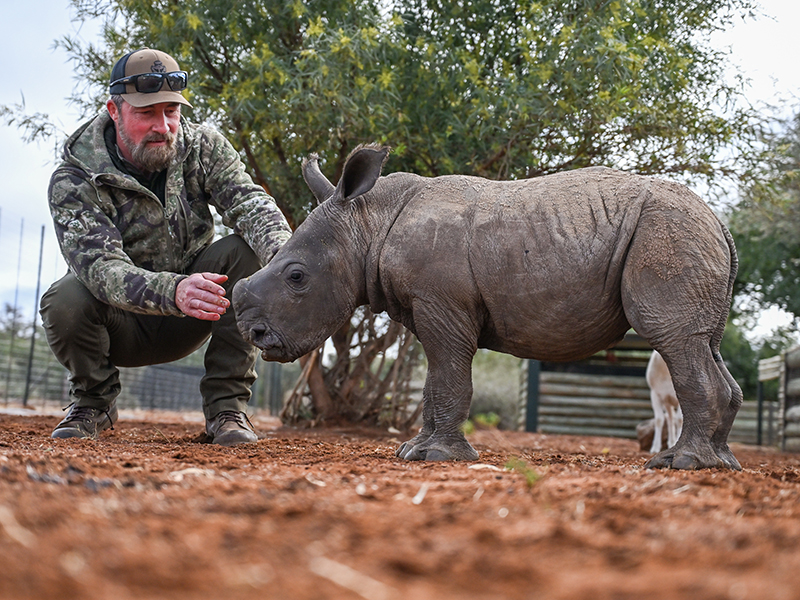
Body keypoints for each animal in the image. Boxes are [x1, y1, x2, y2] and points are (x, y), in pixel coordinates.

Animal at [233, 144, 744, 468]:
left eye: (296, 277)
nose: (254, 334)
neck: (368, 222)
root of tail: (719, 222)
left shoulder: (442, 306)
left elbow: (449, 379)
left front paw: (439, 457)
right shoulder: (427, 307)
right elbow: (432, 383)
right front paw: (413, 452)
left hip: (668, 232)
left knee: (675, 340)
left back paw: (681, 464)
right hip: (686, 236)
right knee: (707, 345)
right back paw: (721, 462)